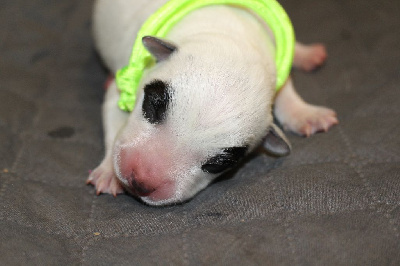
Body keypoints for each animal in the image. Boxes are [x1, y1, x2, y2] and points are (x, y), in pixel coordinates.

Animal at [88, 0, 338, 206]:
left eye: (218, 163)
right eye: (152, 105)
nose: (139, 182)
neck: (230, 38)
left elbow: (286, 89)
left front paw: (305, 113)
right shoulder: (123, 89)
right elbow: (114, 123)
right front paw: (109, 172)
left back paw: (306, 54)